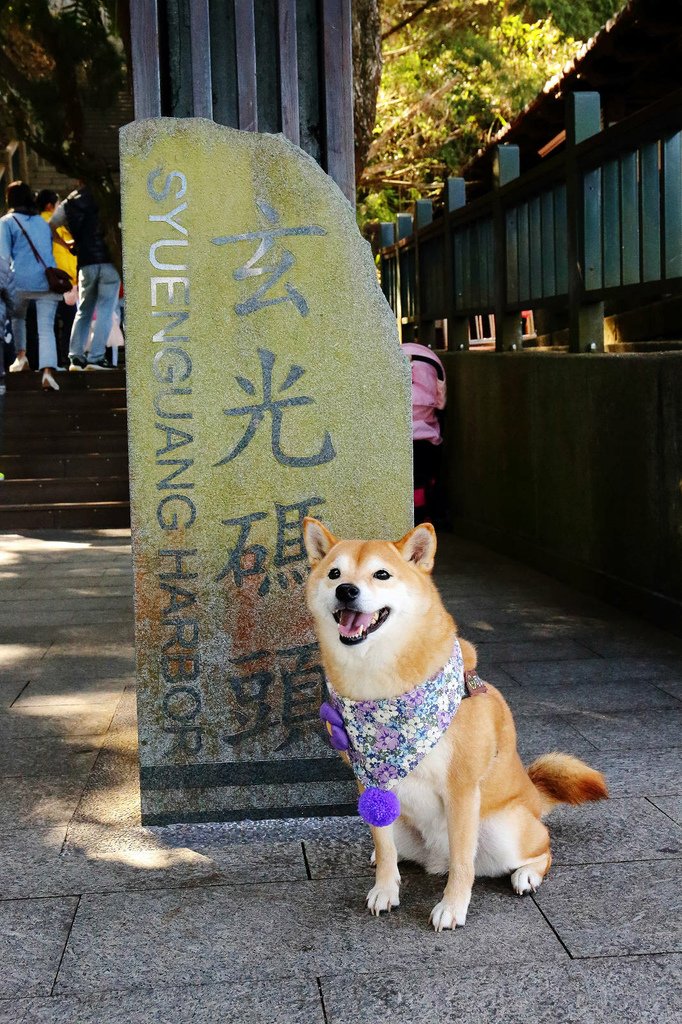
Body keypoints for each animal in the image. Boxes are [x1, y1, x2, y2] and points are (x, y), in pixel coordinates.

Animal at [303, 516, 606, 933]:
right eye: (334, 573)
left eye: (381, 574)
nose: (346, 591)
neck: (380, 689)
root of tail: (532, 795)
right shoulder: (370, 784)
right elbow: (384, 847)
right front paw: (384, 889)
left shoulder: (461, 790)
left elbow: (464, 863)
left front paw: (452, 907)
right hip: (403, 822)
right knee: (396, 849)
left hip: (502, 831)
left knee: (541, 849)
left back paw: (526, 874)